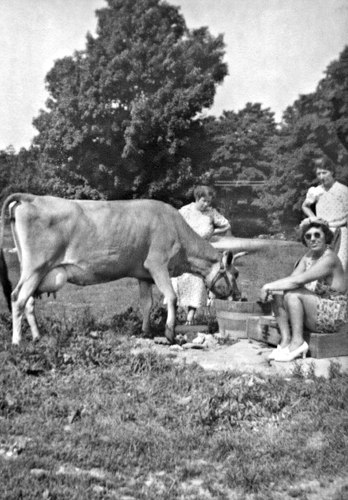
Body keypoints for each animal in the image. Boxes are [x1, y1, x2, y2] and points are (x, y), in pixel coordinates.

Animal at [0, 193, 264, 346]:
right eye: (235, 274)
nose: (240, 296)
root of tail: (31, 197)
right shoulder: (157, 265)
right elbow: (171, 297)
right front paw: (169, 333)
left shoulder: (143, 274)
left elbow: (146, 303)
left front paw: (146, 331)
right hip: (36, 267)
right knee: (18, 299)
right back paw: (17, 341)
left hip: (33, 270)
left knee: (28, 302)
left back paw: (37, 336)